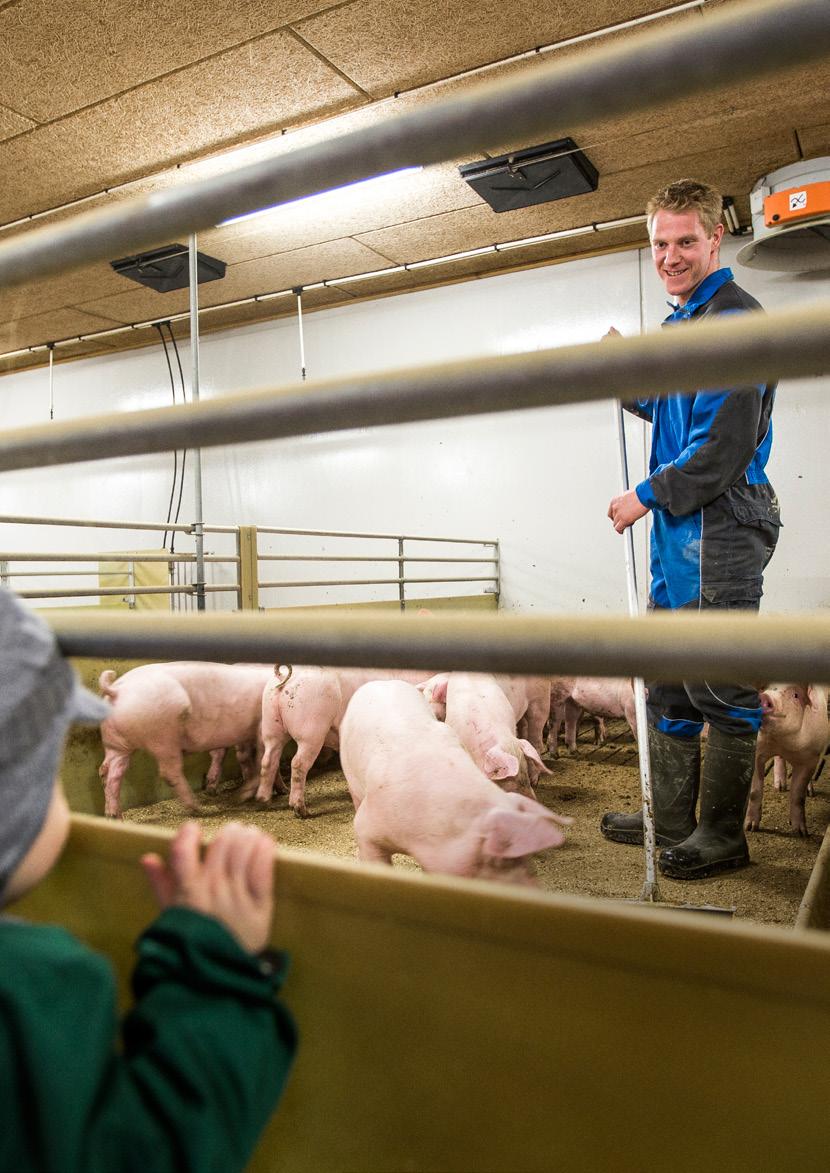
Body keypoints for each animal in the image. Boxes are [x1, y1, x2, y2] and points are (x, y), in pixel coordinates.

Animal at [97, 661, 271, 816]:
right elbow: (259, 759)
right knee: (169, 772)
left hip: (116, 744)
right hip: (163, 737)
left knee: (108, 771)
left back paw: (114, 815)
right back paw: (198, 809)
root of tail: (116, 689)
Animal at [745, 685, 830, 839]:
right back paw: (780, 787)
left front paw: (801, 833)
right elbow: (754, 792)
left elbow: (798, 796)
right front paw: (750, 828)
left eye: (795, 695)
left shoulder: (811, 758)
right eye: (765, 689)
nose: (765, 696)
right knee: (779, 759)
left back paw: (808, 792)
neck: (781, 741)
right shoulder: (757, 752)